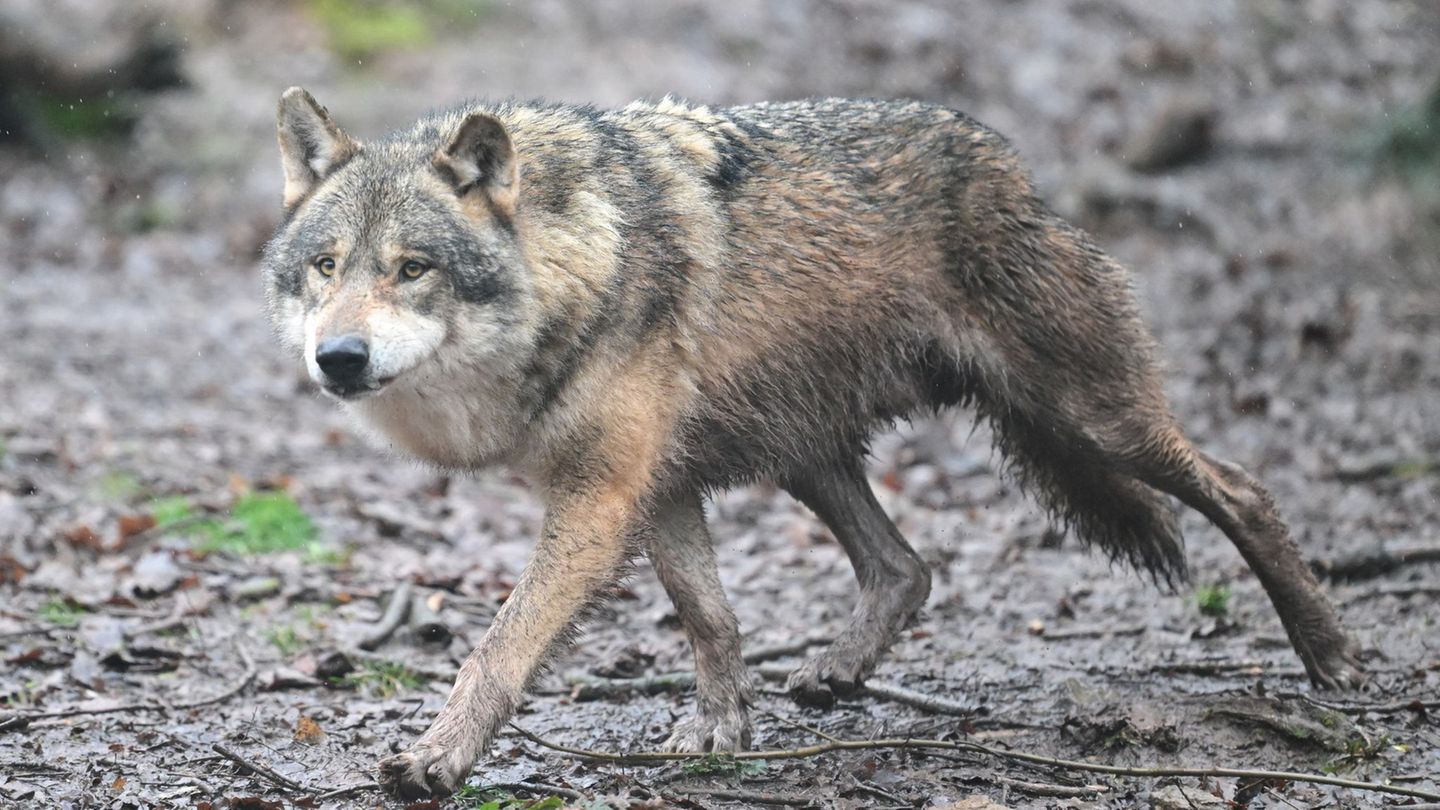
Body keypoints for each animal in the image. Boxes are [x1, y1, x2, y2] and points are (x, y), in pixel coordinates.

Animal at [262, 88, 1363, 798]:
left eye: (412, 268)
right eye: (326, 265)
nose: (339, 358)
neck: (577, 264)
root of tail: (1012, 166)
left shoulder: (600, 497)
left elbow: (497, 648)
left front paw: (435, 761)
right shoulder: (656, 487)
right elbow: (710, 618)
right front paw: (720, 731)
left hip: (1093, 419)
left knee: (1243, 488)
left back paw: (1332, 660)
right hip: (807, 453)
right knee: (907, 567)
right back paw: (836, 672)